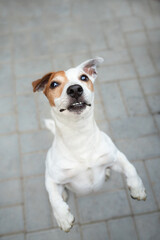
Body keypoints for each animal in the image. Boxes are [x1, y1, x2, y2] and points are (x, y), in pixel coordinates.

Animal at [31, 57, 147, 232]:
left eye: (84, 77)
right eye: (54, 84)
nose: (75, 89)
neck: (80, 136)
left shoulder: (116, 157)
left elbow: (131, 168)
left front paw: (137, 189)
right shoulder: (51, 178)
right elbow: (54, 198)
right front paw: (63, 217)